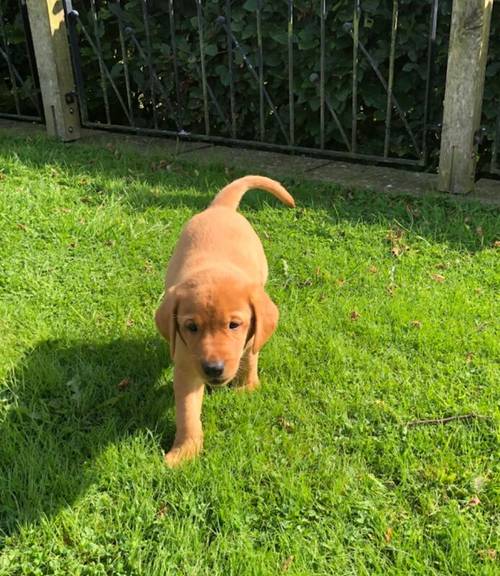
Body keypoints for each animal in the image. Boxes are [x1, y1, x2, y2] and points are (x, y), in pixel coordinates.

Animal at [154, 176, 294, 468]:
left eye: (234, 325)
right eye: (191, 327)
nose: (213, 369)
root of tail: (222, 208)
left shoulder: (252, 332)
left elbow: (251, 355)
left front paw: (248, 386)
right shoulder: (186, 364)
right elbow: (187, 412)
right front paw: (184, 451)